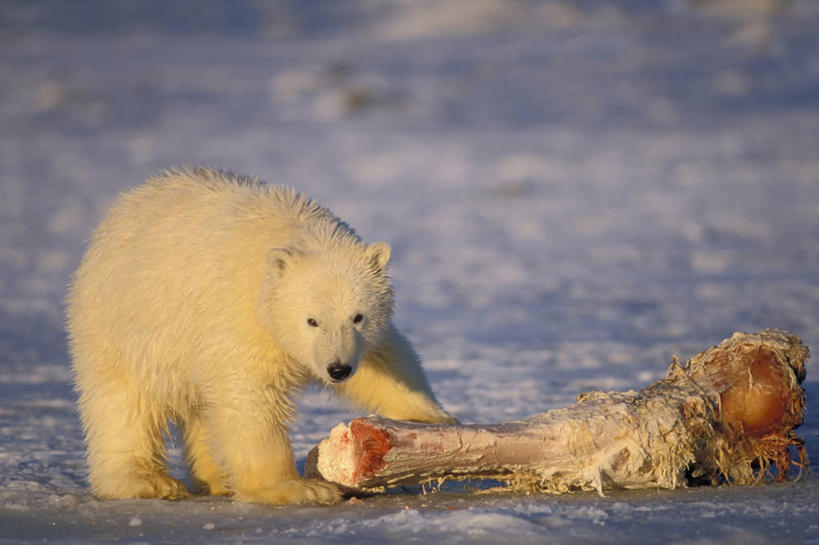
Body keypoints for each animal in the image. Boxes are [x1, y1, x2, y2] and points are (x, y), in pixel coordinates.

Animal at [67, 164, 458, 504]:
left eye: (358, 317)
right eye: (311, 320)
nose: (337, 369)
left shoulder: (357, 341)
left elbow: (386, 362)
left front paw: (434, 420)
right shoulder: (240, 317)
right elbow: (251, 398)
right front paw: (299, 488)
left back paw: (217, 478)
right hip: (123, 325)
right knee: (125, 403)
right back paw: (148, 481)